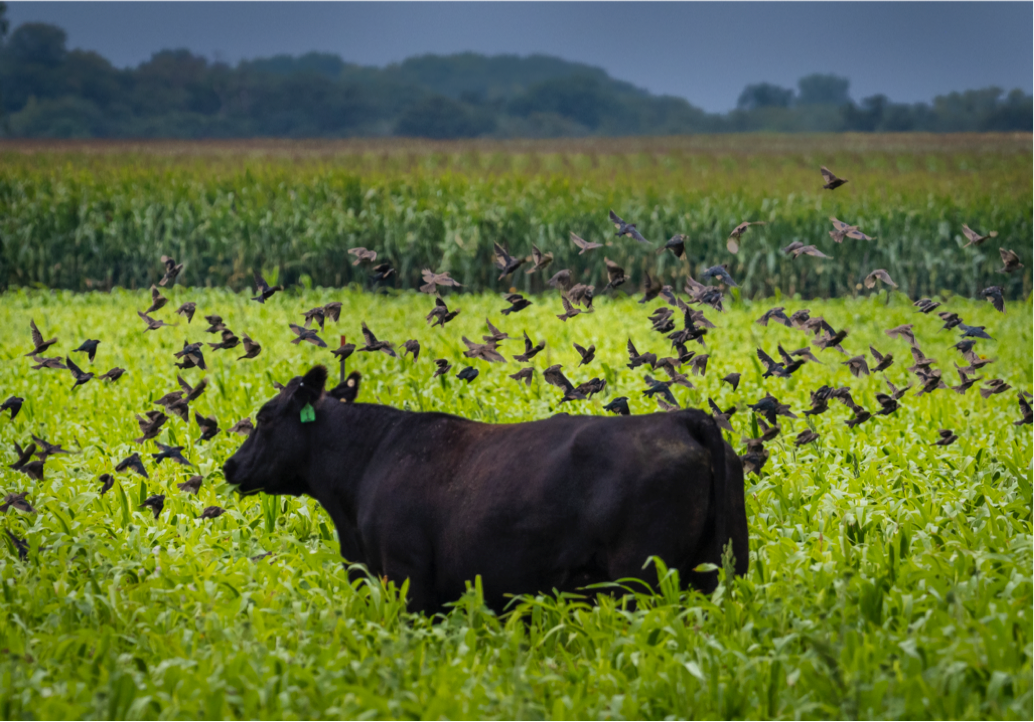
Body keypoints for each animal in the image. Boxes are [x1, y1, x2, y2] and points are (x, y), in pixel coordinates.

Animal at [222, 366, 748, 614]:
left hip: (640, 577)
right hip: (712, 570)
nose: (230, 466)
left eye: (265, 418)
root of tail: (685, 419)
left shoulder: (408, 578)